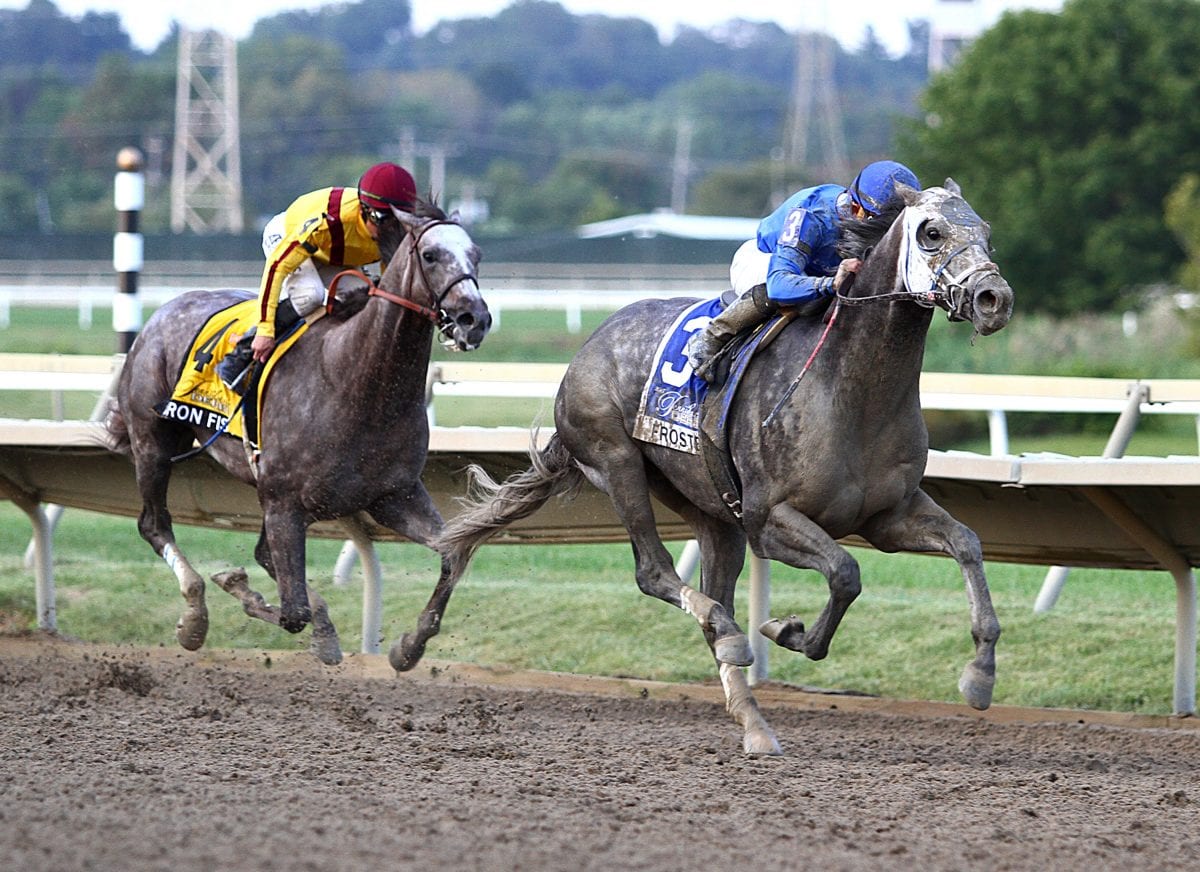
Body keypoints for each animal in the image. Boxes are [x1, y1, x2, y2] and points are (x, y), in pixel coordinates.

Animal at [105, 201, 489, 666]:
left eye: (477, 255)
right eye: (430, 255)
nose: (475, 319)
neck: (357, 382)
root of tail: (163, 312)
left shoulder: (393, 495)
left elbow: (453, 552)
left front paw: (408, 646)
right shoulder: (285, 502)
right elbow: (294, 613)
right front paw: (240, 591)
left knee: (256, 552)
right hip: (153, 443)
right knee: (154, 524)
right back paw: (194, 616)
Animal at [393, 182, 1012, 758]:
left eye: (986, 229)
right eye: (930, 232)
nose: (993, 298)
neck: (855, 389)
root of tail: (590, 343)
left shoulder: (888, 516)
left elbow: (967, 544)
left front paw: (980, 675)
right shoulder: (768, 520)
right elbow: (844, 573)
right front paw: (786, 630)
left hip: (709, 509)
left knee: (715, 593)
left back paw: (753, 719)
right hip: (616, 461)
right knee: (655, 572)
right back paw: (732, 639)